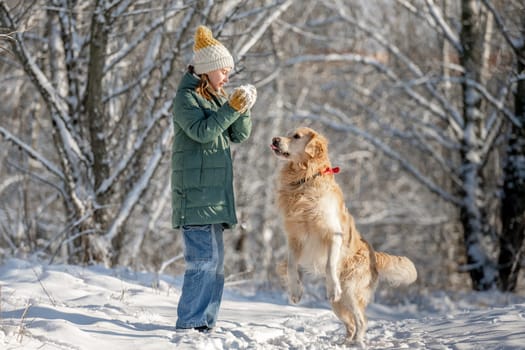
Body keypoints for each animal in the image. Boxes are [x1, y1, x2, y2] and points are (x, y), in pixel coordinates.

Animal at [270, 126, 414, 342]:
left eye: (296, 136)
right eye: (288, 133)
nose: (275, 139)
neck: (305, 179)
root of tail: (374, 254)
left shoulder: (333, 234)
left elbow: (329, 265)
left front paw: (332, 288)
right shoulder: (294, 238)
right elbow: (291, 266)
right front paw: (296, 291)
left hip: (350, 291)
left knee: (361, 321)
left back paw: (357, 342)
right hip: (338, 306)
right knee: (351, 324)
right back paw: (347, 342)